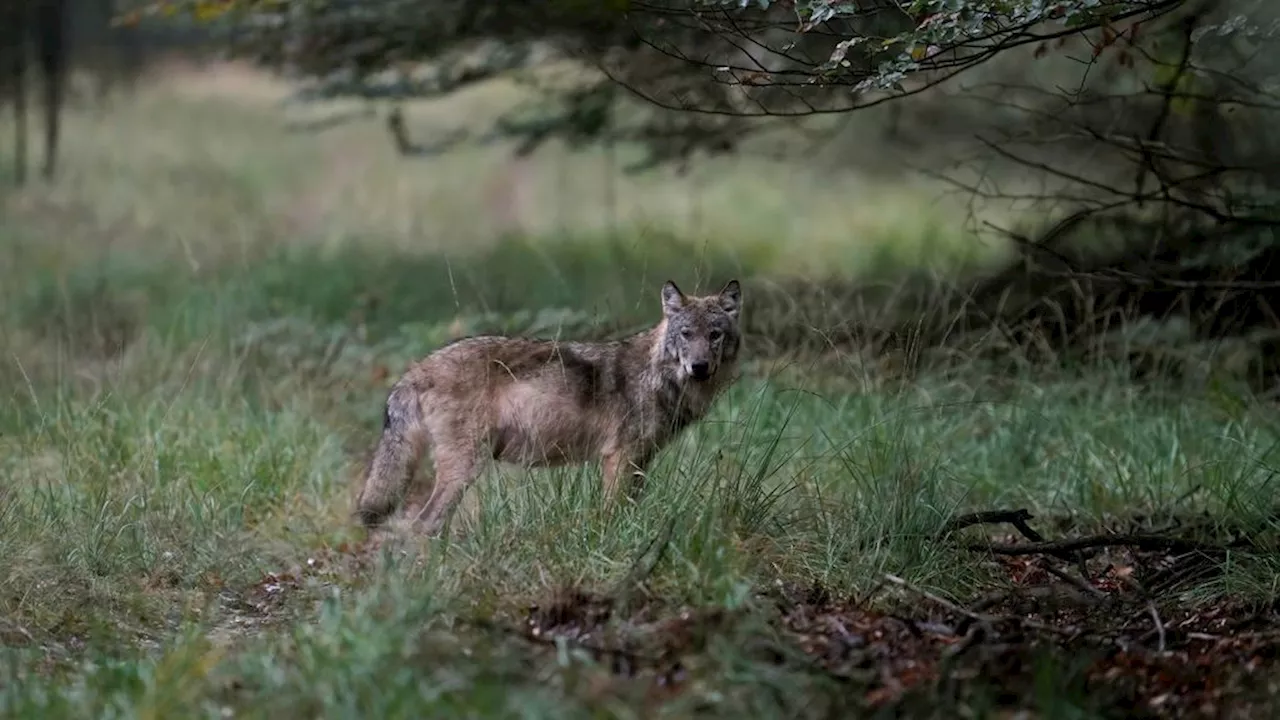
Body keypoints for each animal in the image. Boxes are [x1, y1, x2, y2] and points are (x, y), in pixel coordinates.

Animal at [355, 278, 747, 535]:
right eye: (686, 334)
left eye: (714, 335)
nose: (699, 367)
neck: (659, 377)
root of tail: (417, 368)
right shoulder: (619, 458)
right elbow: (612, 514)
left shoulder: (640, 461)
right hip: (464, 468)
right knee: (423, 525)